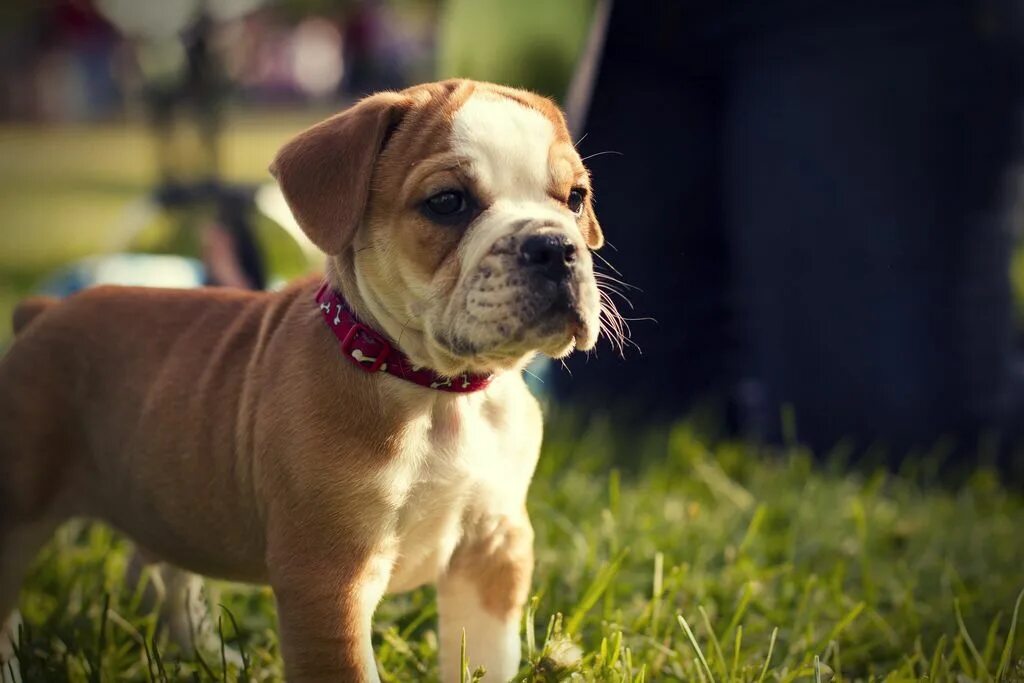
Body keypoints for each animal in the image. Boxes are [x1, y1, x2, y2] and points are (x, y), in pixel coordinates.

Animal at [0, 78, 602, 679]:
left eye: (575, 198)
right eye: (448, 202)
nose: (554, 246)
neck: (437, 393)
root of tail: (41, 314)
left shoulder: (493, 549)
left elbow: (484, 658)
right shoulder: (328, 581)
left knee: (169, 577)